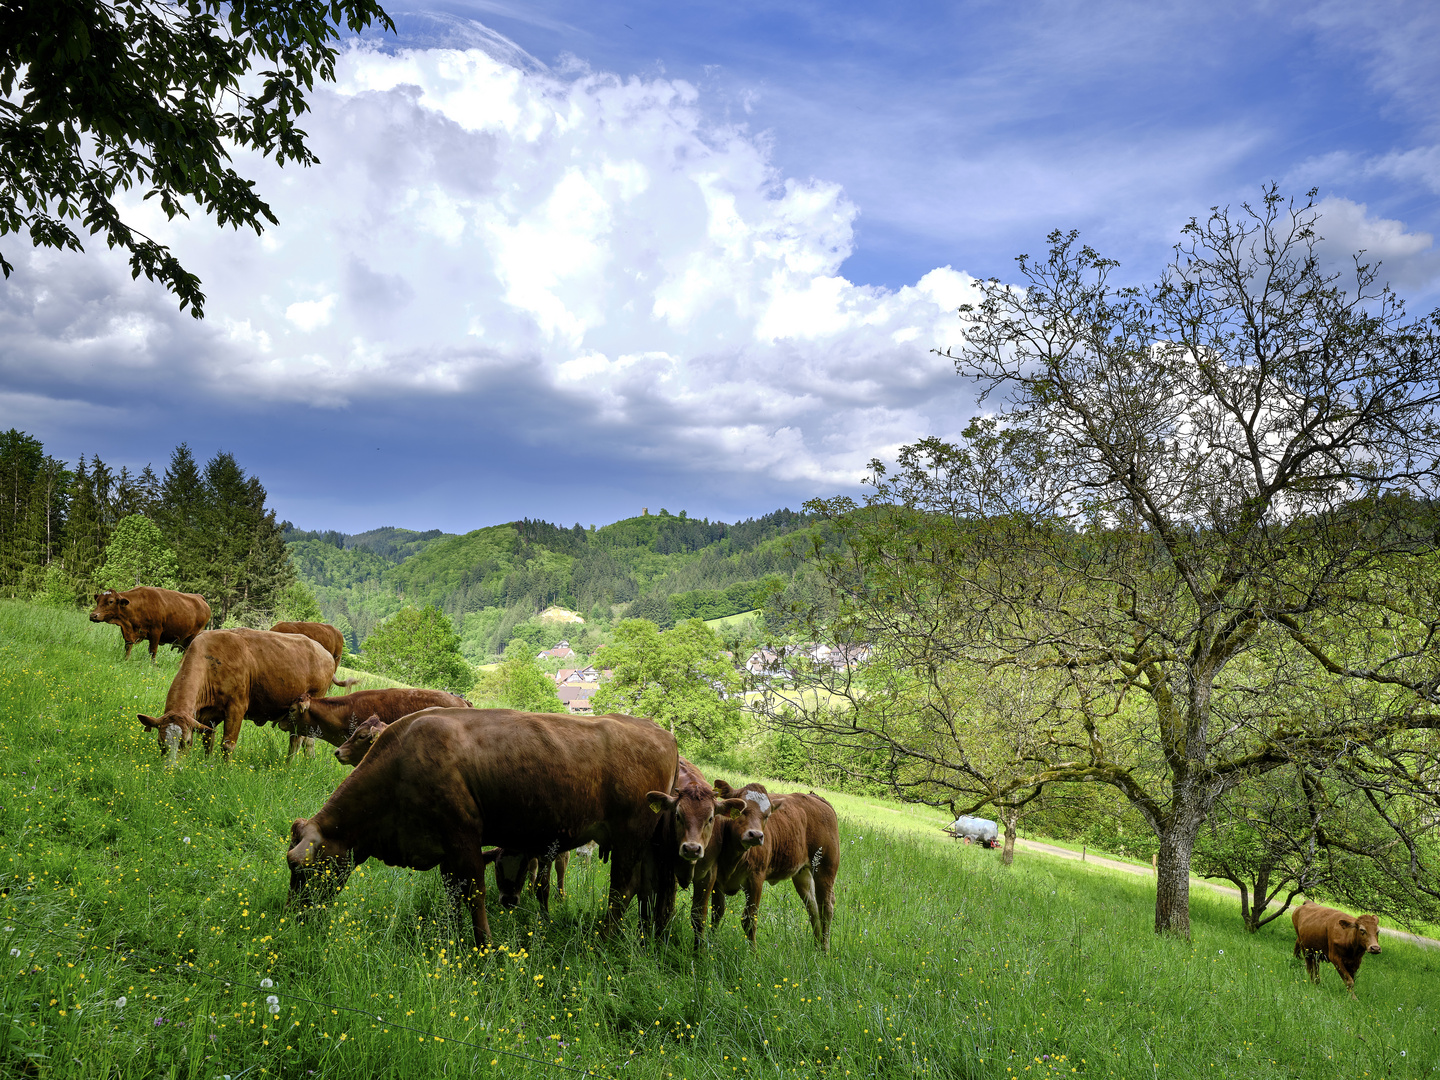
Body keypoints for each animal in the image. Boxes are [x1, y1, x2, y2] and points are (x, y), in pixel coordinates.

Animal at [136, 624, 345, 760]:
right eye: (160, 743)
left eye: (186, 742)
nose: (171, 769)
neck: (211, 661)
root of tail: (325, 653)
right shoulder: (208, 715)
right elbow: (208, 740)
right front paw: (205, 765)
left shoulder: (236, 707)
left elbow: (228, 745)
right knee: (305, 741)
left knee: (298, 740)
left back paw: (289, 767)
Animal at [289, 711, 682, 944]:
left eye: (304, 870)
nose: (293, 917)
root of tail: (661, 732)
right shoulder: (444, 846)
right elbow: (452, 893)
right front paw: (453, 936)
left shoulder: (464, 837)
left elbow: (474, 893)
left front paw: (485, 948)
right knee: (643, 891)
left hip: (630, 837)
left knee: (621, 890)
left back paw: (603, 941)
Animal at [708, 783, 840, 950]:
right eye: (742, 811)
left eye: (767, 815)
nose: (756, 835)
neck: (733, 856)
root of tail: (815, 798)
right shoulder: (717, 880)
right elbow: (716, 914)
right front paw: (711, 944)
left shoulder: (756, 879)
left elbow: (749, 919)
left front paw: (753, 954)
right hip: (803, 874)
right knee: (813, 908)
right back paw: (817, 948)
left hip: (825, 868)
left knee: (826, 908)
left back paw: (825, 949)